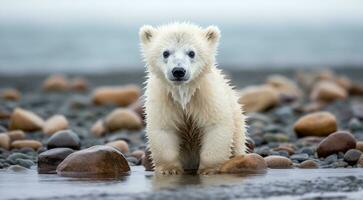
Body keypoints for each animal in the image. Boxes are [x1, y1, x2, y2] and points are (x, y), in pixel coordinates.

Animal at [139, 22, 247, 175]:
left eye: (191, 53)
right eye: (165, 52)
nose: (178, 71)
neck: (183, 93)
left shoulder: (206, 97)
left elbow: (215, 125)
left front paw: (209, 169)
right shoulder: (163, 98)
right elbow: (163, 129)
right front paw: (169, 170)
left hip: (238, 124)